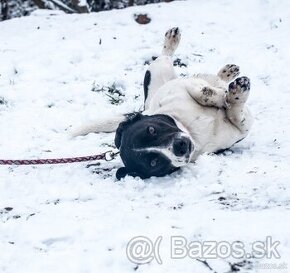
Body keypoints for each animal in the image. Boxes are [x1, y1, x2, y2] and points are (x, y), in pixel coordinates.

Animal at [73, 27, 253, 180]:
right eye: (154, 162)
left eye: (152, 129)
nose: (180, 147)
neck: (190, 129)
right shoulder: (239, 129)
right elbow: (236, 114)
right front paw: (235, 94)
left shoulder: (181, 87)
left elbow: (204, 93)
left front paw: (222, 95)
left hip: (160, 72)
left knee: (166, 57)